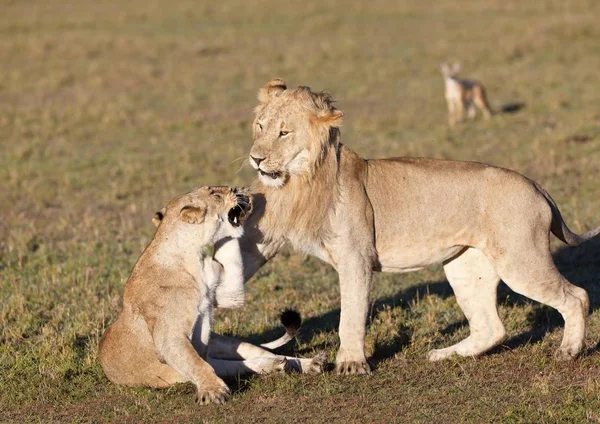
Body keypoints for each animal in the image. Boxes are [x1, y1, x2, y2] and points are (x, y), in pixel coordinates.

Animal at [98, 186, 324, 404]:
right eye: (214, 193)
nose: (236, 189)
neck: (194, 257)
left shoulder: (228, 291)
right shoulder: (169, 339)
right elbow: (197, 365)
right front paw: (213, 391)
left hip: (224, 343)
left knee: (259, 354)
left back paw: (310, 363)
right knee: (235, 365)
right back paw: (276, 365)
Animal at [233, 78, 600, 374]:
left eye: (284, 132)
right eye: (260, 127)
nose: (255, 158)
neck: (304, 179)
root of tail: (536, 185)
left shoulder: (356, 259)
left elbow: (350, 315)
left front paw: (351, 364)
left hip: (519, 259)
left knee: (576, 296)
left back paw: (568, 352)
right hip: (465, 266)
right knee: (490, 327)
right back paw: (443, 355)